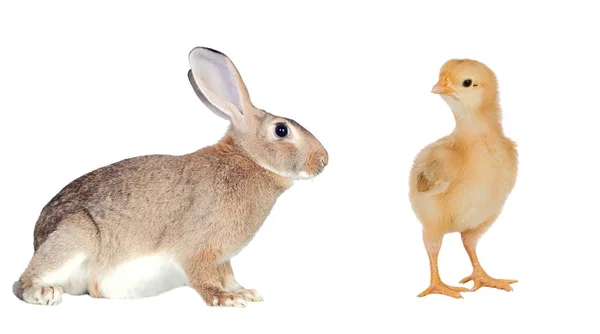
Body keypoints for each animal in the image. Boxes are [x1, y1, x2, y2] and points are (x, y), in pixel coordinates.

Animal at [14, 47, 330, 308]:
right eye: (281, 130)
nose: (324, 160)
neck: (248, 160)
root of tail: (37, 240)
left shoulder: (223, 258)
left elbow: (228, 275)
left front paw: (245, 293)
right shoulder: (199, 249)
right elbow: (204, 278)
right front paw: (226, 299)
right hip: (75, 236)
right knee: (24, 282)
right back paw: (44, 293)